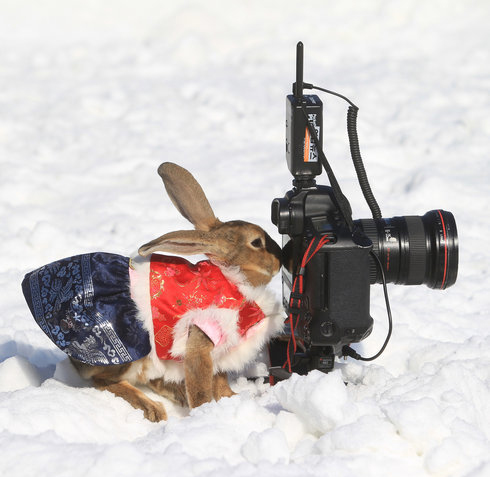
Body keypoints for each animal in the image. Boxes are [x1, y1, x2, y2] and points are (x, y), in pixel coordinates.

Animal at [22, 161, 284, 420]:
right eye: (256, 243)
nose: (280, 259)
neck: (229, 278)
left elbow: (218, 379)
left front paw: (230, 399)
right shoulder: (201, 337)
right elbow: (201, 382)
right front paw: (206, 411)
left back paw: (176, 394)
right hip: (129, 353)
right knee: (103, 380)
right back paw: (153, 409)